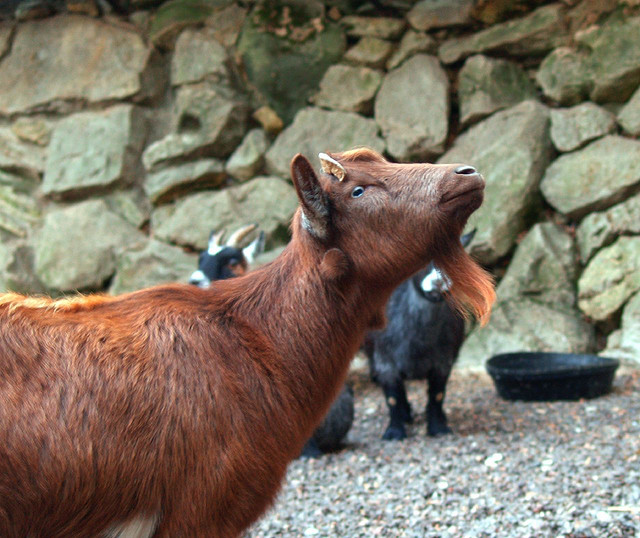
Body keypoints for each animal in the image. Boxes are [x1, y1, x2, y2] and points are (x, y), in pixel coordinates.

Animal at [364, 230, 476, 440]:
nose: (440, 283)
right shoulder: (385, 362)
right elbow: (392, 397)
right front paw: (394, 432)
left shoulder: (443, 362)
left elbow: (438, 395)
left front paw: (438, 428)